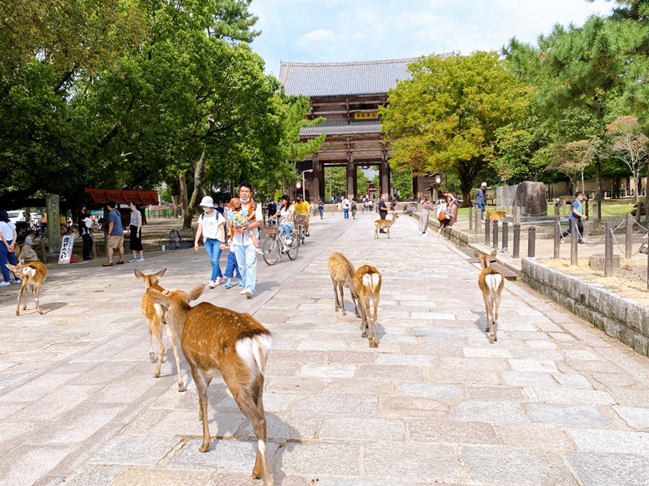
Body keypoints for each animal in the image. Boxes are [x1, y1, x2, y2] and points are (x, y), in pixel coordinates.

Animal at [147, 284, 274, 486]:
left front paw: (204, 444)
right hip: (258, 381)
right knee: (262, 416)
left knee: (259, 421)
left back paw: (265, 478)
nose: (163, 321)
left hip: (235, 379)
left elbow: (203, 400)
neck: (183, 322)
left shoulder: (194, 365)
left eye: (162, 306)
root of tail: (256, 340)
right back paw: (257, 471)